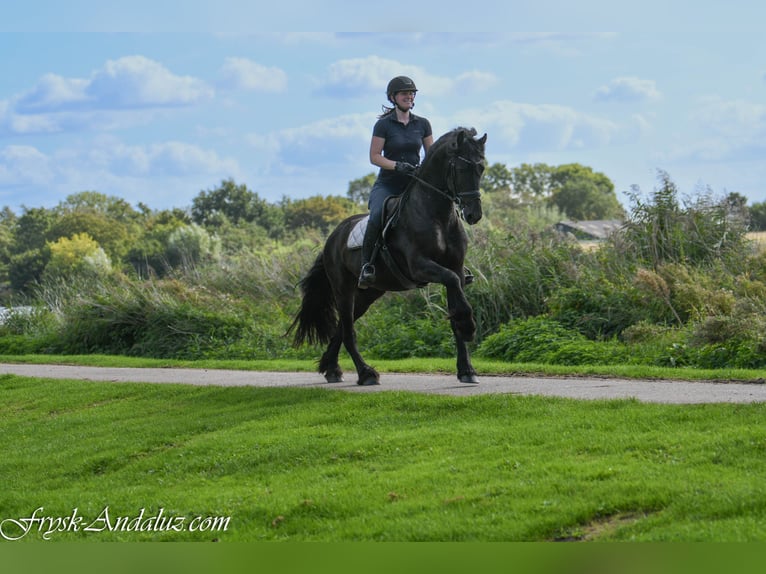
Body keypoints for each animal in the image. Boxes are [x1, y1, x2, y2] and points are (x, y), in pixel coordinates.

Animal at [289, 126, 487, 386]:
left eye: (481, 168)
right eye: (463, 168)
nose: (474, 214)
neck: (438, 217)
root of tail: (333, 237)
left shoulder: (456, 268)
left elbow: (455, 307)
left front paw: (466, 369)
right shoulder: (420, 267)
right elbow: (453, 288)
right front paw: (468, 326)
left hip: (369, 293)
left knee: (342, 327)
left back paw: (332, 369)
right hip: (343, 289)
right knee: (348, 331)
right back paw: (366, 373)